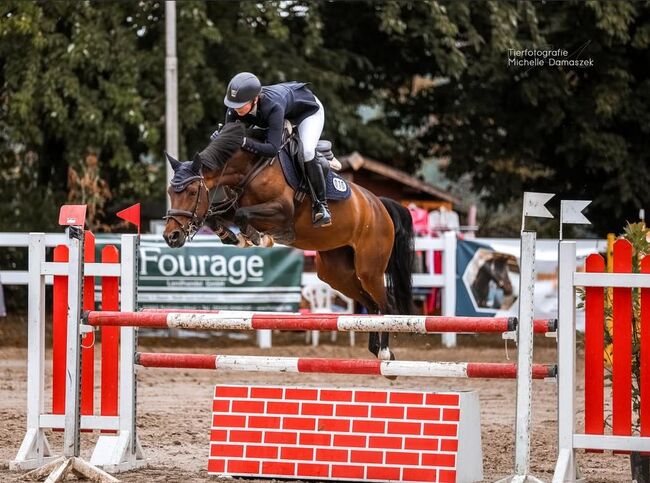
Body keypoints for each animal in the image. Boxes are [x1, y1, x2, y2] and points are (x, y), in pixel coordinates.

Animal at [163, 122, 414, 362]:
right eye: (170, 192)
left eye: (192, 191)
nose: (170, 236)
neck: (250, 168)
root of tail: (378, 204)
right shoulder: (231, 206)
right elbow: (216, 215)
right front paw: (232, 237)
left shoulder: (282, 211)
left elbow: (243, 215)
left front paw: (257, 237)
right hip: (337, 273)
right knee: (371, 305)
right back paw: (376, 349)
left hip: (369, 269)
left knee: (386, 305)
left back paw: (385, 352)